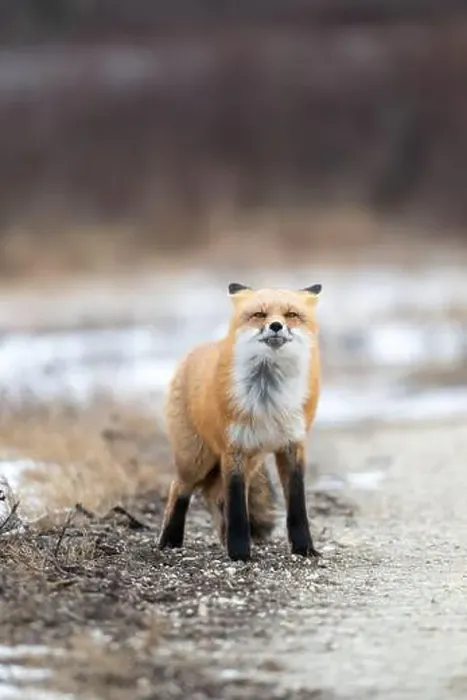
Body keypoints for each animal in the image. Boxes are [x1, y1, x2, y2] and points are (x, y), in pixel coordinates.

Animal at [159, 281, 322, 562]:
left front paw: (304, 549)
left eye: (291, 315)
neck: (269, 397)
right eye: (259, 315)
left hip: (251, 461)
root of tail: (193, 351)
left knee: (214, 495)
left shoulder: (292, 444)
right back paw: (170, 541)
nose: (276, 325)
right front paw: (239, 553)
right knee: (178, 487)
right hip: (197, 460)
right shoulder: (233, 448)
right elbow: (236, 508)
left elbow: (297, 505)